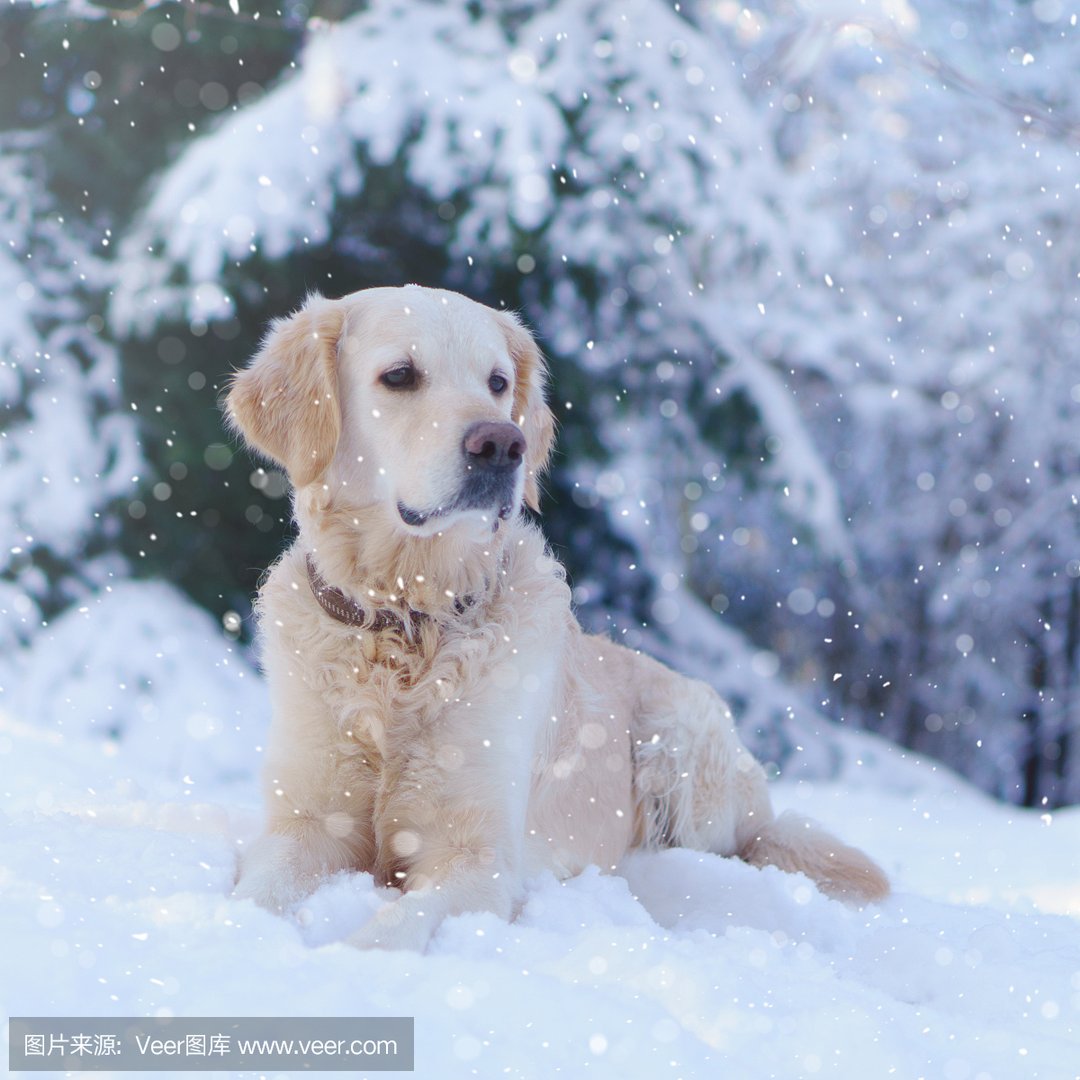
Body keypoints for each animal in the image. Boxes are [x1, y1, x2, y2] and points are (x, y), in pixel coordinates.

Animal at [225, 282, 885, 950]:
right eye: (400, 375)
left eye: (497, 382)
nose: (501, 444)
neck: (407, 621)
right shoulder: (306, 822)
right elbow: (255, 895)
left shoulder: (478, 860)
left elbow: (389, 932)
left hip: (681, 742)